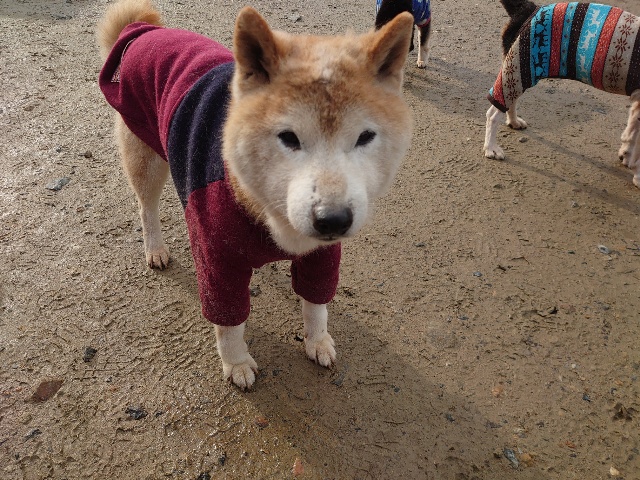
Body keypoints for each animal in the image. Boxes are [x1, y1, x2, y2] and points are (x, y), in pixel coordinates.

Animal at [97, 0, 414, 389]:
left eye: (365, 137)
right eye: (289, 138)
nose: (333, 220)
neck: (267, 210)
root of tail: (146, 31)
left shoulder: (323, 254)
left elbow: (317, 302)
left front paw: (317, 340)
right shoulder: (217, 258)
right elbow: (229, 321)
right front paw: (236, 362)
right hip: (146, 159)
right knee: (147, 208)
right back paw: (155, 248)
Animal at [484, 0, 640, 187]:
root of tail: (530, 8)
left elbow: (631, 133)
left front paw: (627, 156)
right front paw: (638, 175)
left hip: (517, 72)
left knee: (508, 102)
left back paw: (513, 122)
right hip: (520, 67)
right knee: (493, 114)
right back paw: (491, 148)